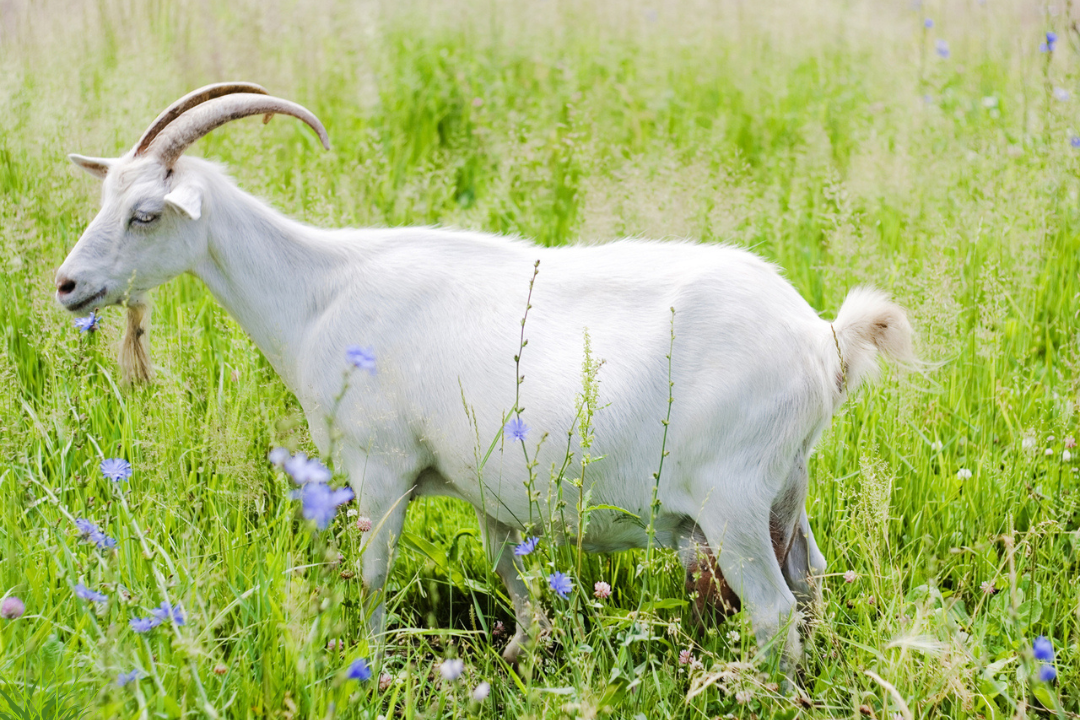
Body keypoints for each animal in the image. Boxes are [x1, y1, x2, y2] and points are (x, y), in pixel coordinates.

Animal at [56, 84, 911, 677]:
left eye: (145, 214)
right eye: (105, 197)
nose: (67, 286)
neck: (320, 291)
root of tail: (823, 338)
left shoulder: (381, 465)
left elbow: (372, 574)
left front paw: (371, 670)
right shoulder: (493, 487)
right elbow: (514, 580)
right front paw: (521, 662)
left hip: (731, 500)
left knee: (772, 610)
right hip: (786, 486)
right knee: (810, 581)